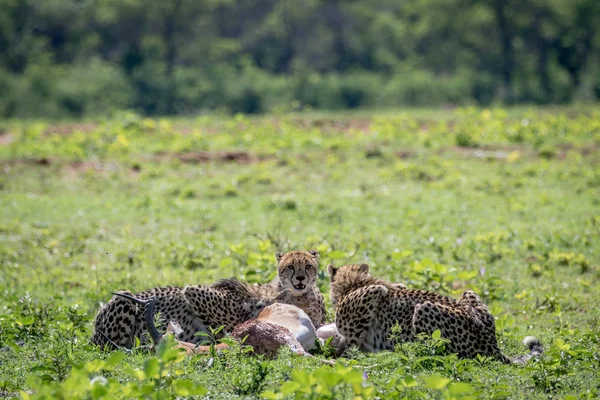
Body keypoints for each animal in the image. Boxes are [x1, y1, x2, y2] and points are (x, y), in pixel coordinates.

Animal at [328, 264, 544, 364]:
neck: (354, 282)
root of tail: (492, 345)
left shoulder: (373, 293)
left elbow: (352, 338)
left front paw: (341, 355)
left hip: (423, 309)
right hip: (469, 293)